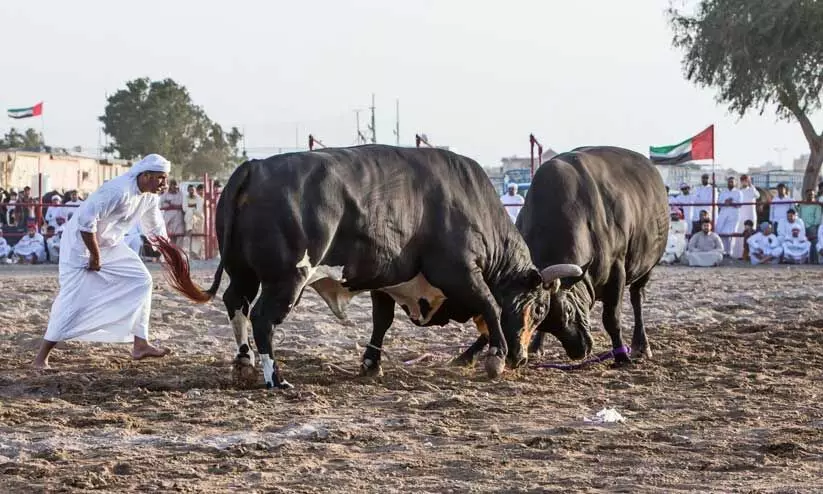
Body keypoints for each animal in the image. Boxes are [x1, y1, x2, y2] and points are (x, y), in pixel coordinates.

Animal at [158, 145, 584, 388]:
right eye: (540, 308)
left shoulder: (387, 279)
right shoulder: (459, 270)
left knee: (237, 304)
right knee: (262, 317)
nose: (521, 358)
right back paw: (274, 375)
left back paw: (244, 363)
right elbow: (491, 305)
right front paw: (495, 356)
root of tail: (256, 166)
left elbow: (382, 320)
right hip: (286, 278)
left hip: (242, 271)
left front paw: (371, 362)